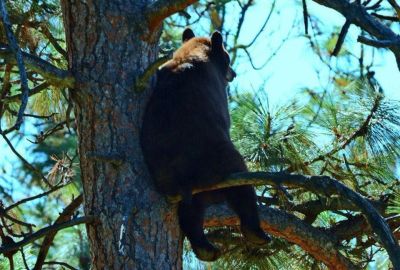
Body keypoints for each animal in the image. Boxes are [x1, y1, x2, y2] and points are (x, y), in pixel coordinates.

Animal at [141, 29, 268, 262]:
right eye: (228, 58)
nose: (233, 73)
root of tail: (183, 179)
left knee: (191, 212)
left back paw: (205, 248)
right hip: (220, 161)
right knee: (241, 185)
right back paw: (256, 232)